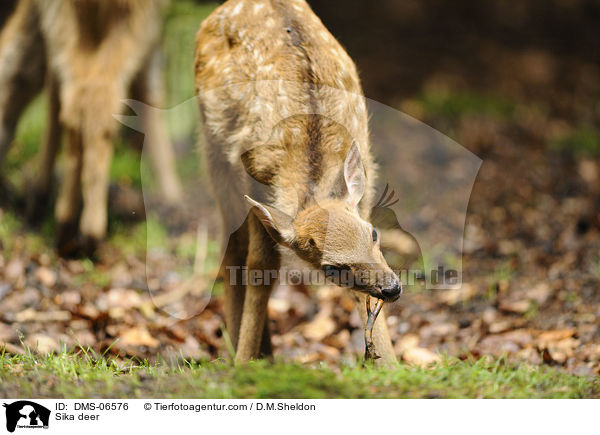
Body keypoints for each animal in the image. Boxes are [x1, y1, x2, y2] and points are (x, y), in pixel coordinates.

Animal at [197, 0, 400, 364]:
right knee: (233, 245)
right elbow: (261, 265)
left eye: (374, 234)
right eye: (332, 269)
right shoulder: (256, 176)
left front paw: (392, 364)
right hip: (213, 147)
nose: (392, 288)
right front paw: (244, 361)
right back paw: (243, 351)